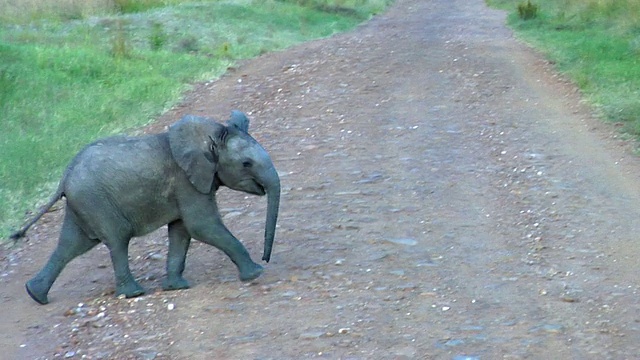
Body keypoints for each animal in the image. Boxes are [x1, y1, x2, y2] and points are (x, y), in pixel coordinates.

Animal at [10, 112, 280, 304]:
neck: (211, 133)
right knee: (117, 239)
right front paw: (255, 274)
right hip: (95, 201)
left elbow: (181, 231)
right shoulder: (186, 182)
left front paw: (176, 287)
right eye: (246, 164)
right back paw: (134, 294)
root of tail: (64, 177)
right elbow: (202, 226)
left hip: (83, 203)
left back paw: (35, 295)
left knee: (72, 244)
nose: (266, 259)